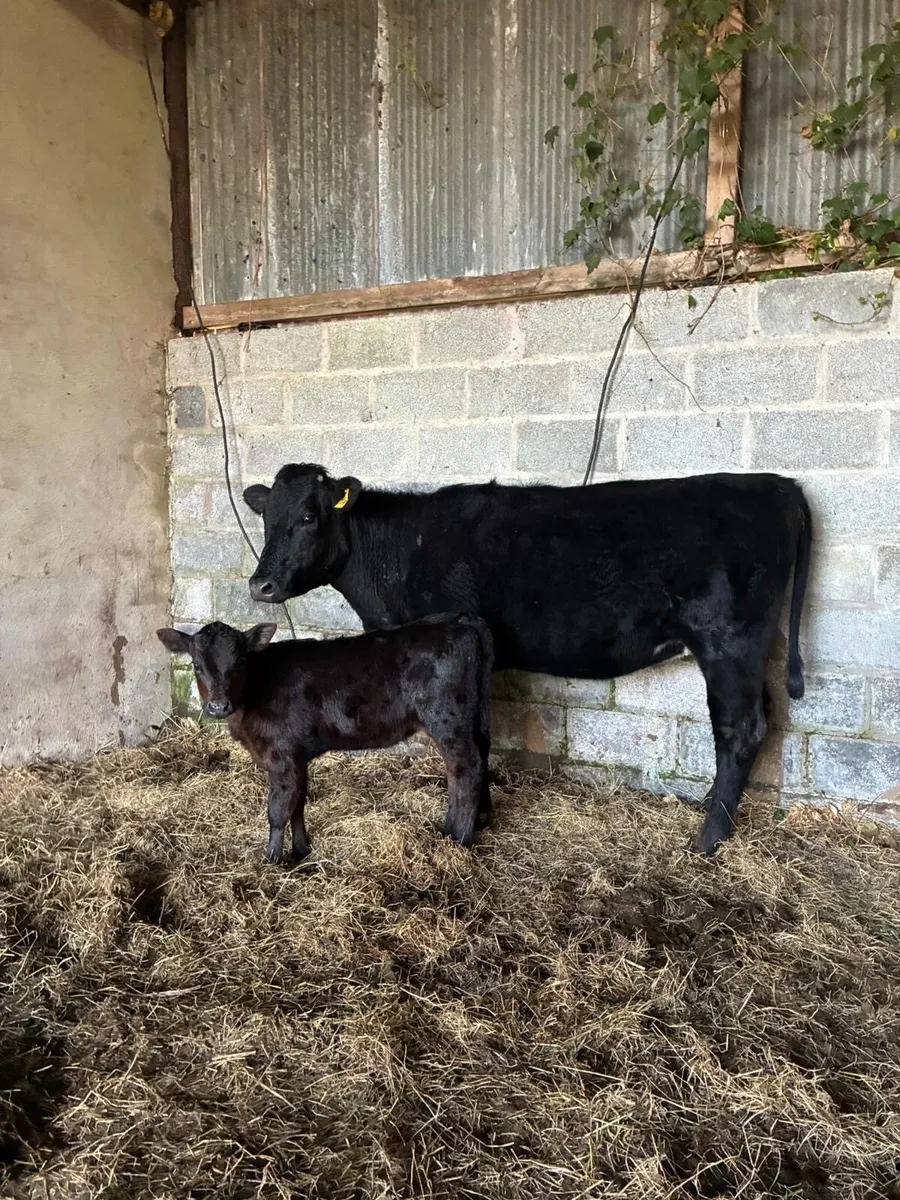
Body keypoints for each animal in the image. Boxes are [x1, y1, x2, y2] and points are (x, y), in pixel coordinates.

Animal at [157, 615, 494, 863]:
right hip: (473, 719)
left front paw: (271, 861)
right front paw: (301, 851)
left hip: (447, 718)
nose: (218, 706)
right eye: (197, 664)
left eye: (239, 662)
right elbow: (298, 803)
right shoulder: (297, 757)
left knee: (465, 769)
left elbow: (278, 809)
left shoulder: (281, 755)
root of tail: (460, 623)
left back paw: (456, 838)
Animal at [242, 465, 812, 856]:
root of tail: (777, 484)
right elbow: (483, 736)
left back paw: (709, 837)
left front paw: (473, 818)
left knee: (739, 728)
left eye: (309, 517)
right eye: (267, 519)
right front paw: (484, 813)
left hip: (728, 641)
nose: (260, 585)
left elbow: (475, 742)